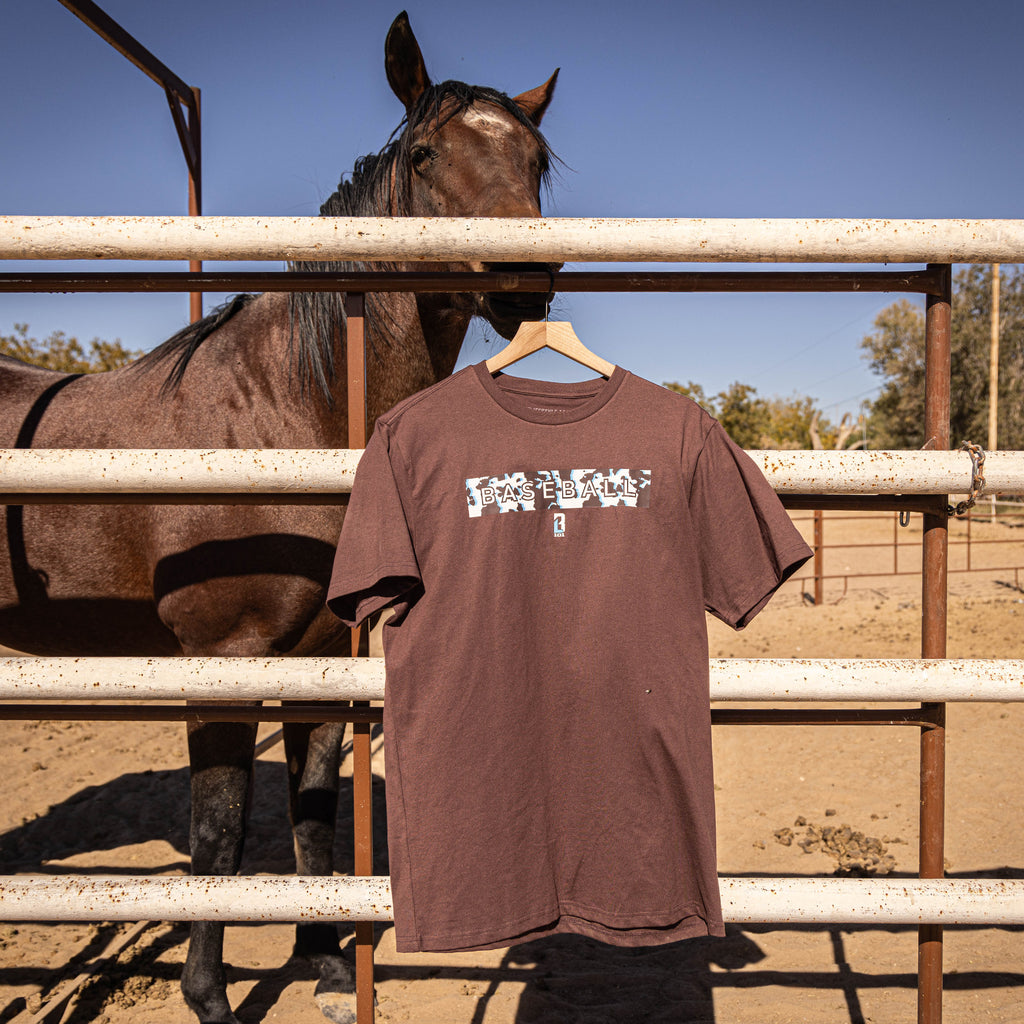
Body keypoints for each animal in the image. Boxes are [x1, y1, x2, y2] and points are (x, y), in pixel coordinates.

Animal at [0, 12, 559, 1023]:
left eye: (536, 157)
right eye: (424, 155)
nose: (524, 280)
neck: (279, 417)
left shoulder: (320, 658)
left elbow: (313, 814)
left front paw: (330, 969)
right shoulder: (220, 661)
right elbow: (219, 838)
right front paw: (210, 996)